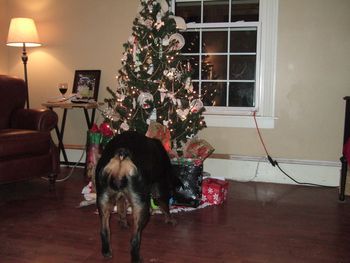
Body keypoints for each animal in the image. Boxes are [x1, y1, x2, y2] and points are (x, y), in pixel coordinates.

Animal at [95, 131, 178, 262]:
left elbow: (121, 208)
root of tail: (121, 156)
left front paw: (123, 223)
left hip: (103, 200)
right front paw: (170, 219)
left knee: (104, 230)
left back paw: (107, 252)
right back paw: (136, 258)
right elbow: (165, 206)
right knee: (134, 238)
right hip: (142, 207)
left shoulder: (120, 196)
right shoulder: (159, 189)